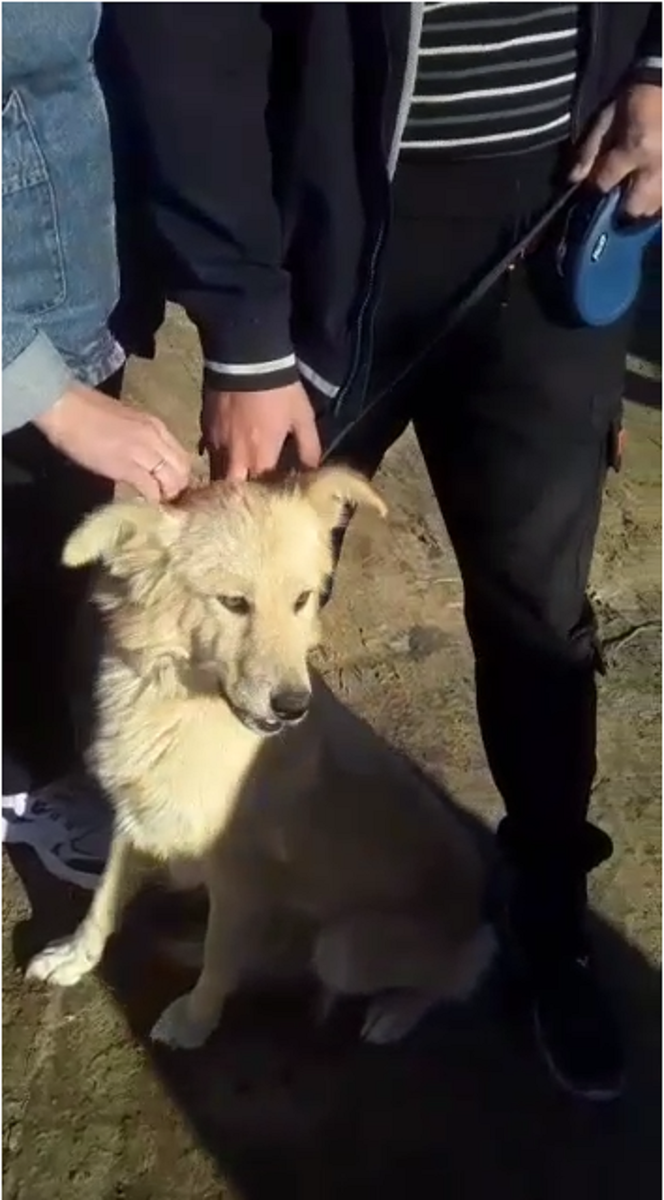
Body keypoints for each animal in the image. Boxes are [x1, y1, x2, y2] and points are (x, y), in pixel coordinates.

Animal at [26, 466, 495, 1049]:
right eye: (233, 603)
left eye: (302, 599)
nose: (293, 706)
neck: (182, 707)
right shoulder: (136, 815)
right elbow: (104, 901)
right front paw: (75, 957)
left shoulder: (238, 881)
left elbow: (218, 961)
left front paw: (193, 1023)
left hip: (346, 948)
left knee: (460, 974)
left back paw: (396, 1011)